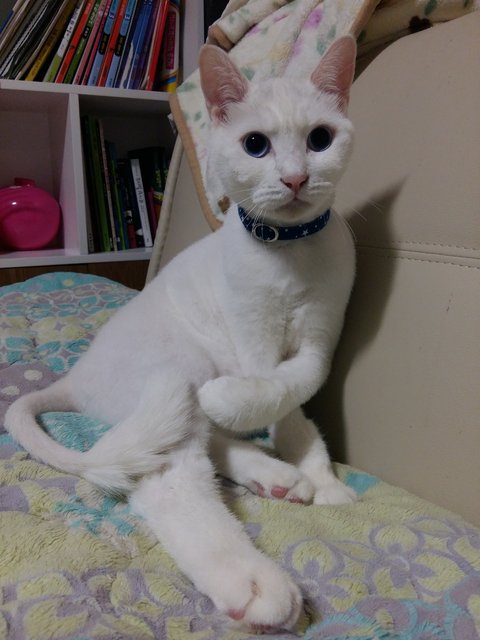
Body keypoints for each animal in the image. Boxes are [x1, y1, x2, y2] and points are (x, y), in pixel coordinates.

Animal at [5, 36, 357, 632]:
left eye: (320, 139)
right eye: (255, 145)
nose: (294, 178)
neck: (291, 253)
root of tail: (76, 377)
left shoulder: (321, 334)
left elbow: (301, 384)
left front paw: (317, 471)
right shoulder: (251, 334)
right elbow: (274, 389)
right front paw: (253, 416)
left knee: (205, 441)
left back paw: (274, 475)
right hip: (177, 371)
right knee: (171, 477)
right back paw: (251, 578)